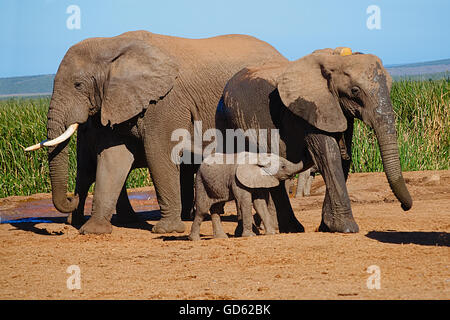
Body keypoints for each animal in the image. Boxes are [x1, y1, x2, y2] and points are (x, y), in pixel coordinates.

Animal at [25, 30, 284, 234]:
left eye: (78, 84)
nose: (72, 198)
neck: (112, 44)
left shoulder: (166, 102)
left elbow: (158, 153)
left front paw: (166, 230)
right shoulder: (118, 100)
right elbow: (113, 158)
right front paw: (93, 231)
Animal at [216, 47, 414, 232]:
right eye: (355, 90)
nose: (404, 207)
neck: (336, 60)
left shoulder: (336, 109)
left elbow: (344, 157)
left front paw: (327, 227)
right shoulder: (308, 110)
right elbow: (329, 155)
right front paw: (346, 228)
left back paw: (290, 229)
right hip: (231, 122)